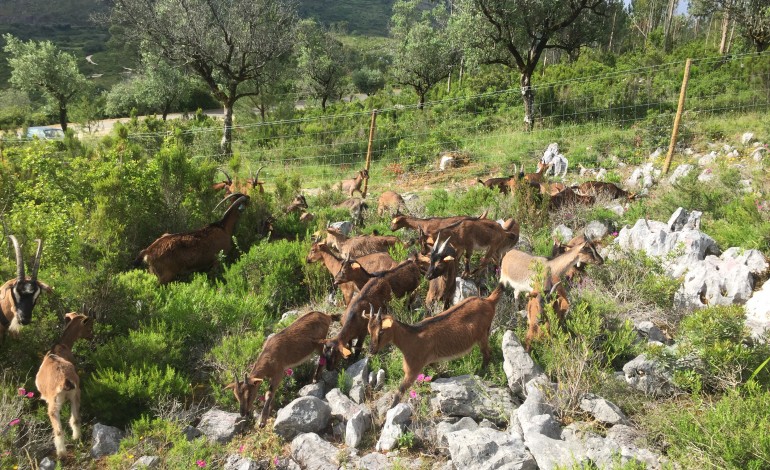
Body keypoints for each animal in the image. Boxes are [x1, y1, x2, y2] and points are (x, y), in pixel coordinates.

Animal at [35, 314, 94, 458]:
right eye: (89, 327)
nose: (92, 336)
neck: (62, 346)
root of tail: (65, 380)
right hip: (76, 394)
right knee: (76, 418)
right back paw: (76, 437)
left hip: (54, 403)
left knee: (57, 428)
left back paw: (61, 453)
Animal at [364, 284, 504, 410]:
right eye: (369, 331)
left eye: (381, 331)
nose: (371, 350)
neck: (410, 338)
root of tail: (489, 300)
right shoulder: (430, 361)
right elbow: (437, 371)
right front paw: (445, 376)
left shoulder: (413, 369)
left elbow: (400, 391)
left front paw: (389, 411)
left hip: (482, 335)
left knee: (487, 353)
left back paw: (481, 372)